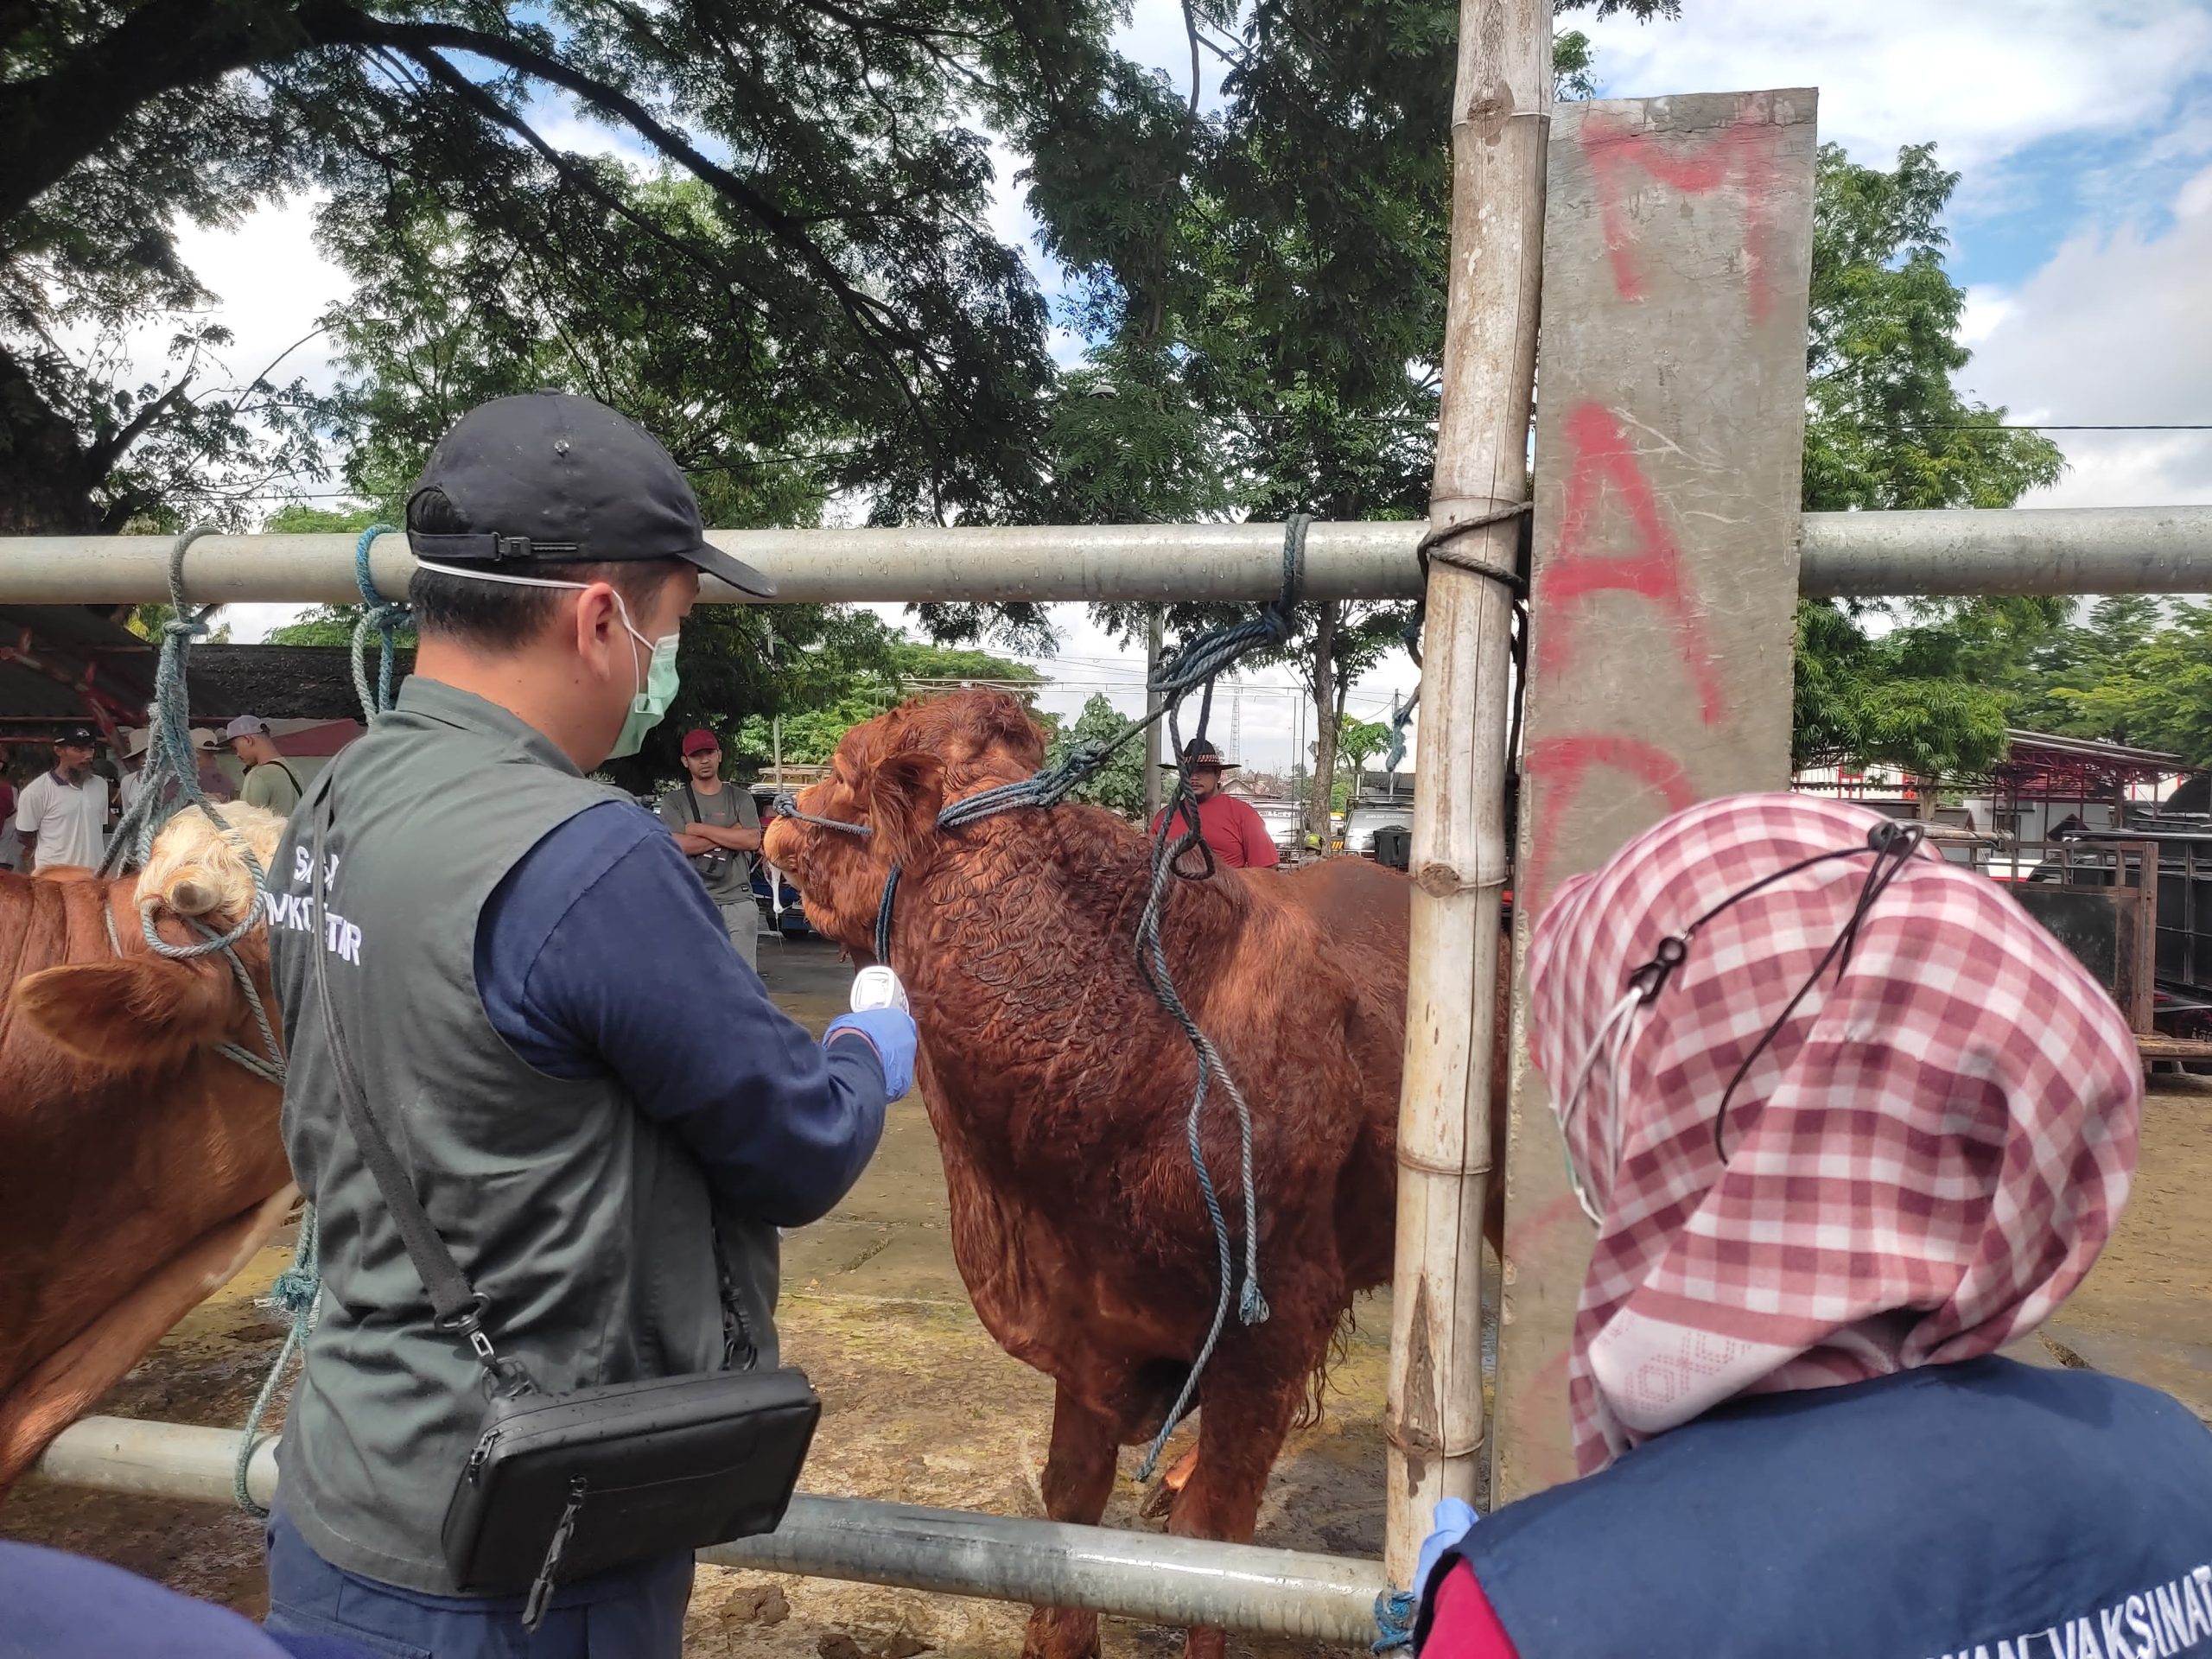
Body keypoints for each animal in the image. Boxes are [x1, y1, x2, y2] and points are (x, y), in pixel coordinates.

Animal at [769, 690, 1513, 1659]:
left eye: (843, 765)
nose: (776, 813)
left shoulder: (1275, 1324)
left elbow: (1214, 1550)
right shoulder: (1087, 1325)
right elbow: (1069, 1508)